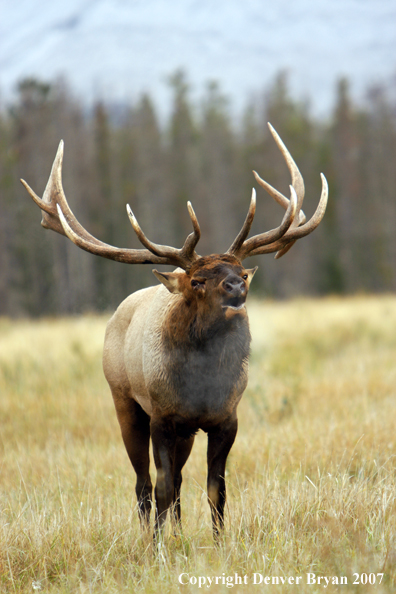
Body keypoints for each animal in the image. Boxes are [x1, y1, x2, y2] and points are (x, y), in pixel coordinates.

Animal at [20, 122, 328, 540]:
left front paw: (217, 543)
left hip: (185, 431)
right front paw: (158, 546)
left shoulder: (225, 418)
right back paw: (152, 534)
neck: (200, 385)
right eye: (197, 280)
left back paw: (178, 533)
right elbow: (162, 486)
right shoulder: (162, 417)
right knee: (145, 483)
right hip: (125, 403)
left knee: (179, 480)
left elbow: (216, 487)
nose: (236, 286)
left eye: (242, 272)